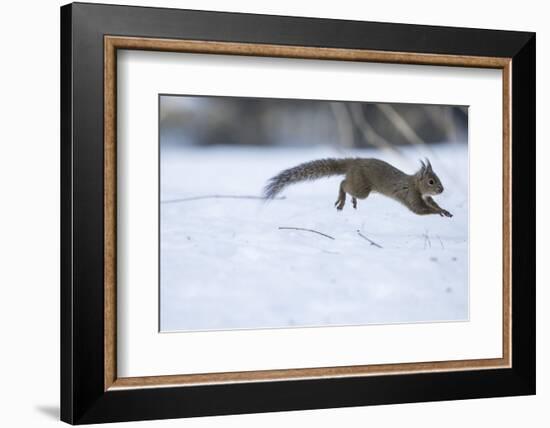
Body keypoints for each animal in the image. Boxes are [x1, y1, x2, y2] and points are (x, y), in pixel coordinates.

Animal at [266, 157, 454, 217]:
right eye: (431, 181)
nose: (442, 190)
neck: (415, 184)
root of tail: (354, 162)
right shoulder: (412, 196)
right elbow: (420, 210)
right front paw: (438, 212)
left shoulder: (426, 197)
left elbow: (432, 204)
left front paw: (444, 210)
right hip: (362, 188)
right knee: (343, 184)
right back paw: (342, 200)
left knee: (346, 184)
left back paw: (351, 201)